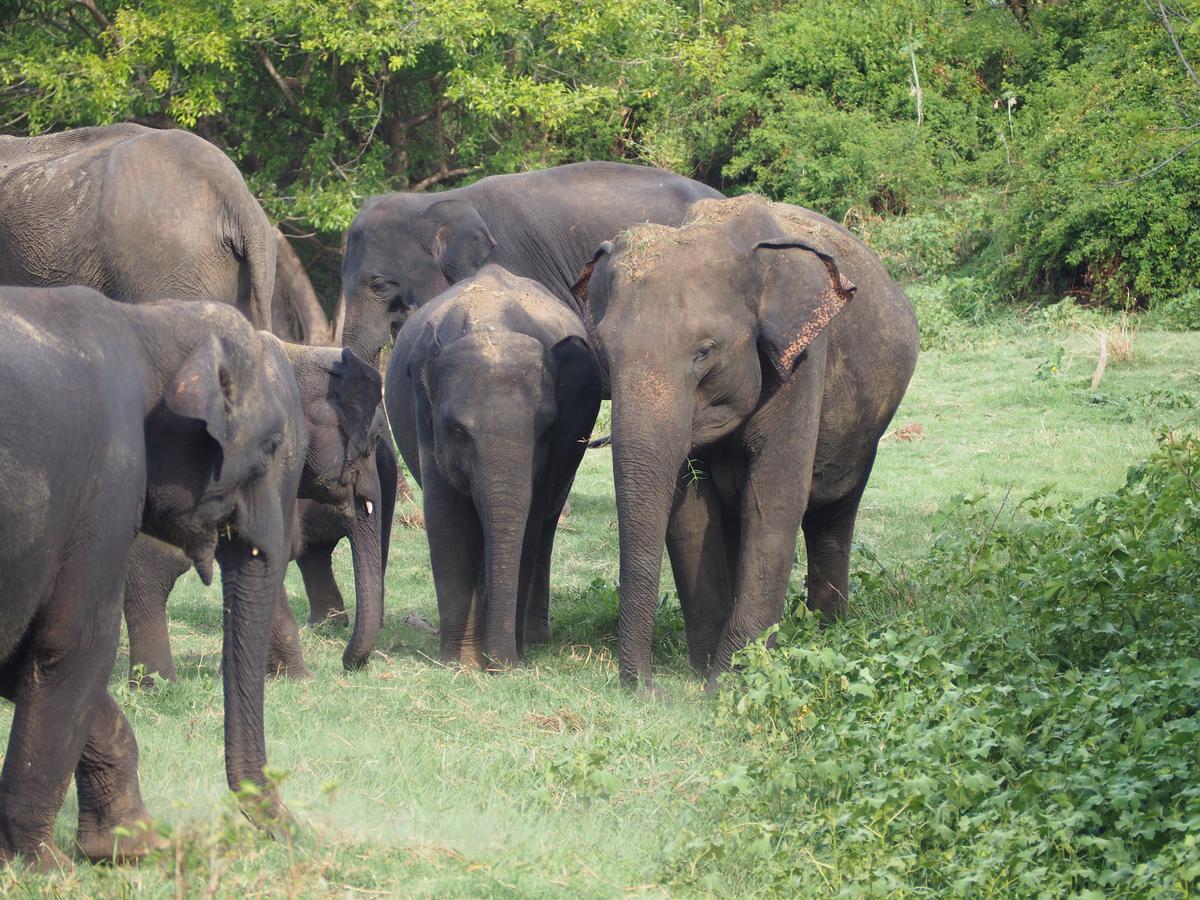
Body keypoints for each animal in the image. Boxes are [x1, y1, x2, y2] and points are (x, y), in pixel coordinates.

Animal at [0, 289, 292, 868]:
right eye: (271, 446)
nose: (292, 832)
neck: (146, 322)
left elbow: (21, 656)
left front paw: (132, 844)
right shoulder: (108, 481)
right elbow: (73, 644)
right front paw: (45, 866)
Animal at [388, 264, 604, 667]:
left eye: (546, 432)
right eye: (457, 431)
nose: (504, 664)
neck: (490, 325)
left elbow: (528, 523)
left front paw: (502, 659)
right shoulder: (425, 416)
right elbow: (446, 516)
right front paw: (458, 664)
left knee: (545, 527)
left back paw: (533, 640)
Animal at [573, 194, 916, 696]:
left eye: (705, 351)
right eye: (606, 352)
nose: (652, 689)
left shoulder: (803, 360)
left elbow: (772, 499)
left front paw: (729, 682)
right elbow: (690, 512)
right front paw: (704, 672)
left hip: (865, 428)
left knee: (833, 514)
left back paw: (827, 632)